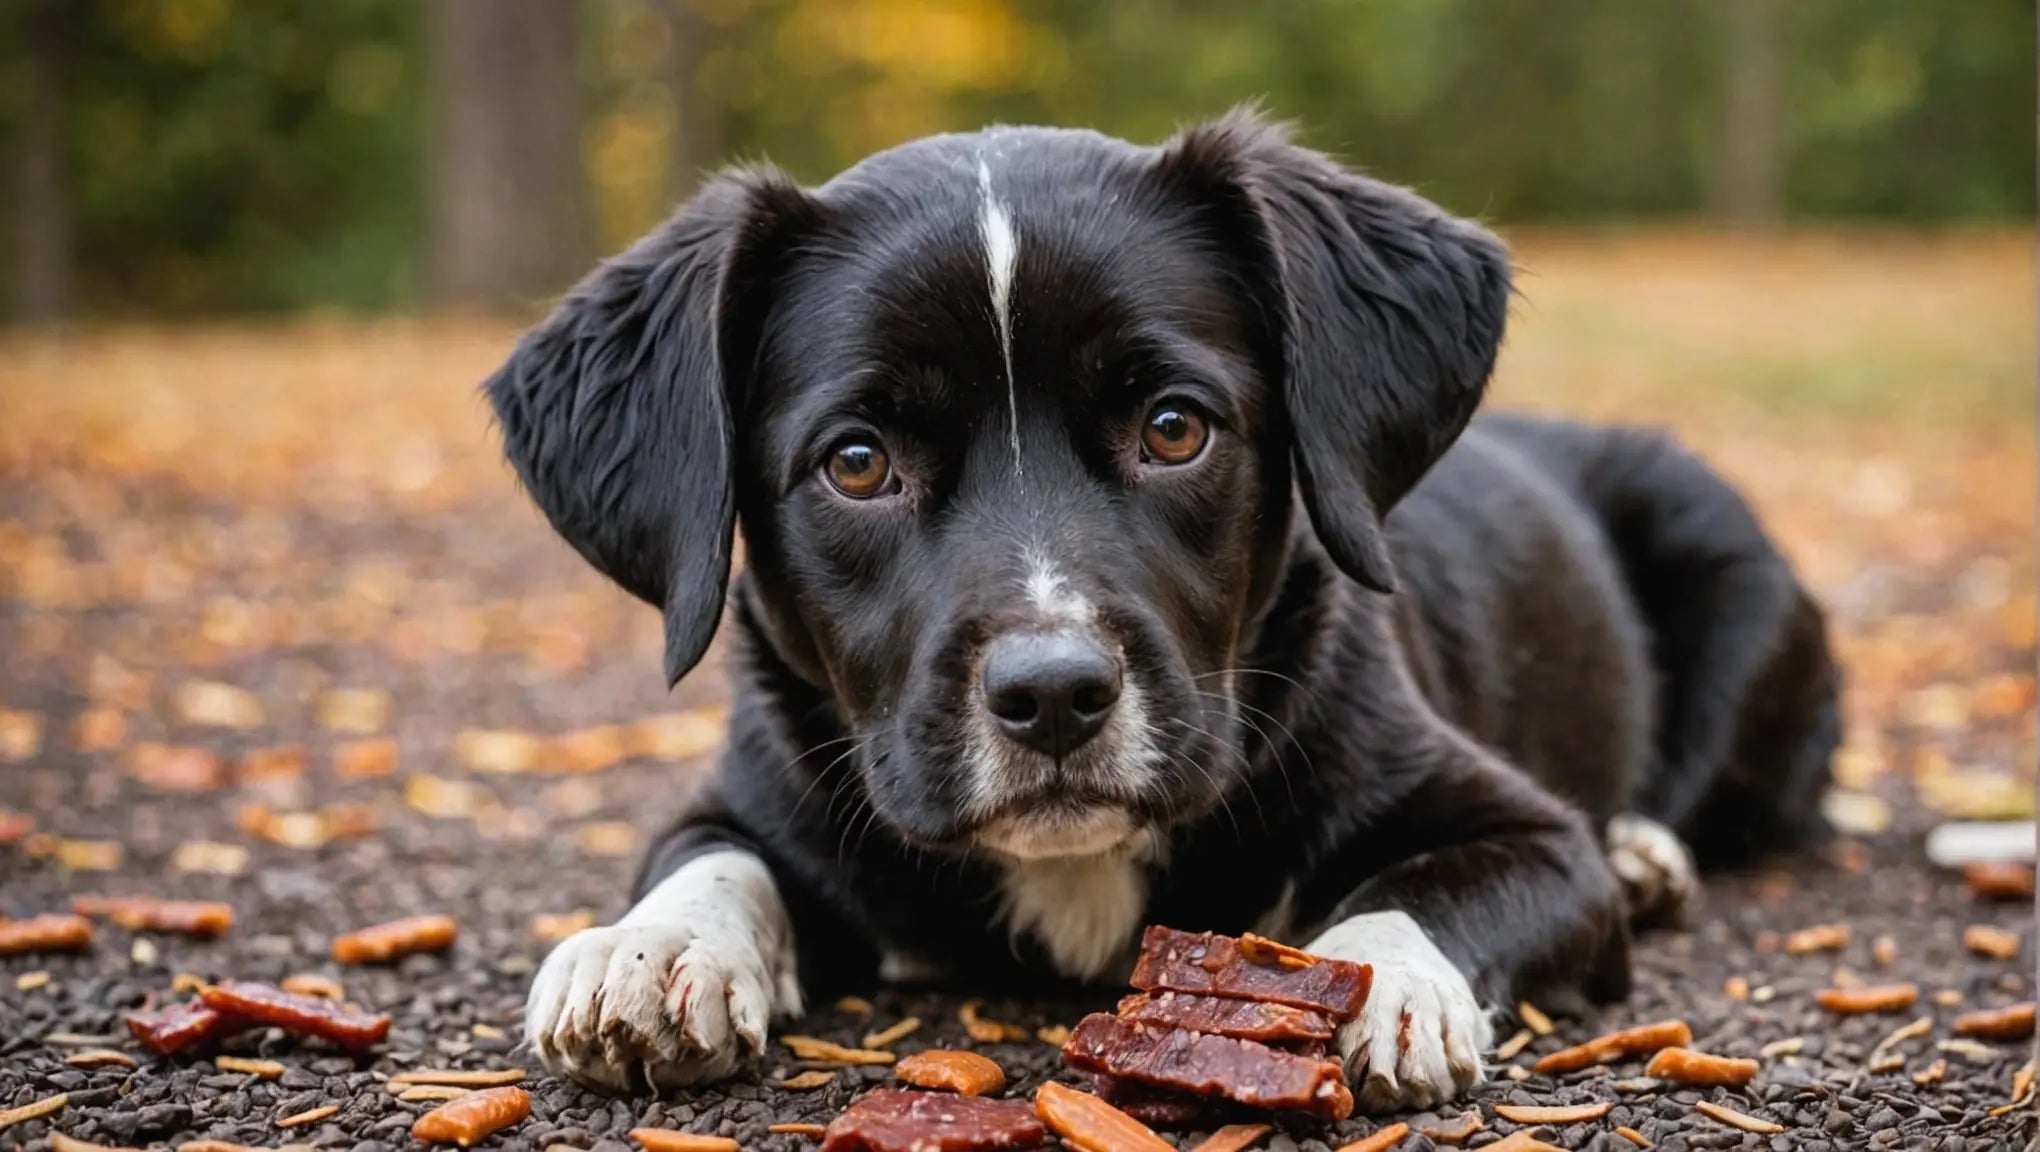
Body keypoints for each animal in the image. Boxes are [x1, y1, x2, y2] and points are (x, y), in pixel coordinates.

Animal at [489, 112, 1836, 1109]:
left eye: (1175, 429)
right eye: (857, 464)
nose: (1052, 696)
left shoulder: (1530, 833)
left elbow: (1424, 887)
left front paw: (1376, 976)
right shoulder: (753, 790)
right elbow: (710, 859)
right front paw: (650, 952)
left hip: (1740, 588)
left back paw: (1649, 855)